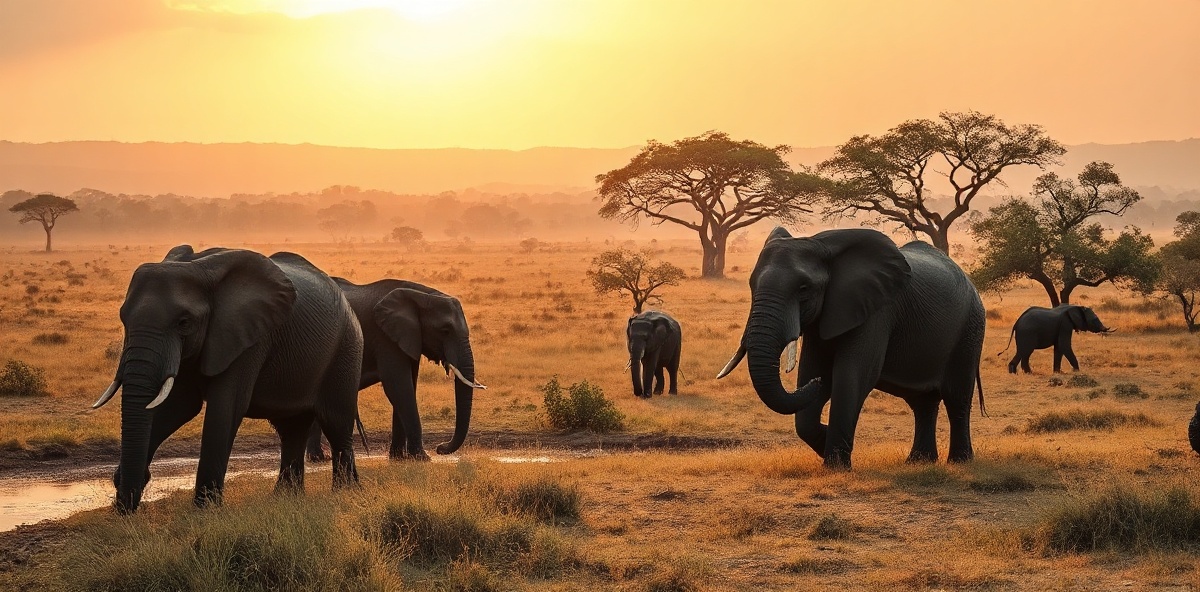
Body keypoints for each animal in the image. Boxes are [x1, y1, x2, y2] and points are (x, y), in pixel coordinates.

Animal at [92, 246, 363, 513]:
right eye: (123, 318)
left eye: (184, 323)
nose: (125, 507)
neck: (197, 268)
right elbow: (178, 406)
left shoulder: (247, 338)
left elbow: (225, 407)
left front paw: (205, 511)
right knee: (292, 429)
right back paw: (286, 499)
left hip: (346, 349)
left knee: (336, 423)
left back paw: (345, 494)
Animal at [305, 278, 485, 462]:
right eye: (445, 331)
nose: (440, 448)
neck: (422, 296)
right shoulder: (384, 338)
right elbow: (399, 388)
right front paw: (422, 457)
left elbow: (408, 386)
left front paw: (398, 457)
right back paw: (317, 457)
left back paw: (320, 457)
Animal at [717, 227, 986, 470]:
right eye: (751, 285)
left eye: (803, 289)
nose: (813, 384)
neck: (822, 245)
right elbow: (814, 370)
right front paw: (824, 437)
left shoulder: (877, 311)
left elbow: (852, 376)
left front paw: (835, 465)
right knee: (923, 402)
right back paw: (918, 463)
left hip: (970, 329)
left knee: (957, 398)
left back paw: (959, 462)